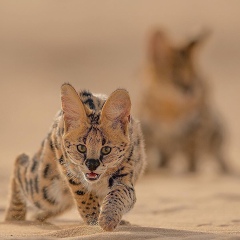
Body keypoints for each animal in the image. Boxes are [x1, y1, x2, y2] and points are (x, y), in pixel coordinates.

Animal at [4, 83, 145, 232]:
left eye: (106, 150)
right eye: (81, 148)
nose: (92, 165)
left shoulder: (125, 177)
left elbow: (119, 193)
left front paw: (108, 218)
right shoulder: (66, 163)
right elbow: (83, 194)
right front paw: (93, 221)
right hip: (45, 189)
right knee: (20, 161)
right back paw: (14, 217)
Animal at [140, 30, 230, 172]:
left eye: (194, 77)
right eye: (176, 77)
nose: (191, 90)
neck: (169, 108)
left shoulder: (197, 125)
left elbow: (192, 152)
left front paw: (191, 169)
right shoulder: (147, 127)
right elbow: (146, 151)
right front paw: (147, 170)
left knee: (216, 154)